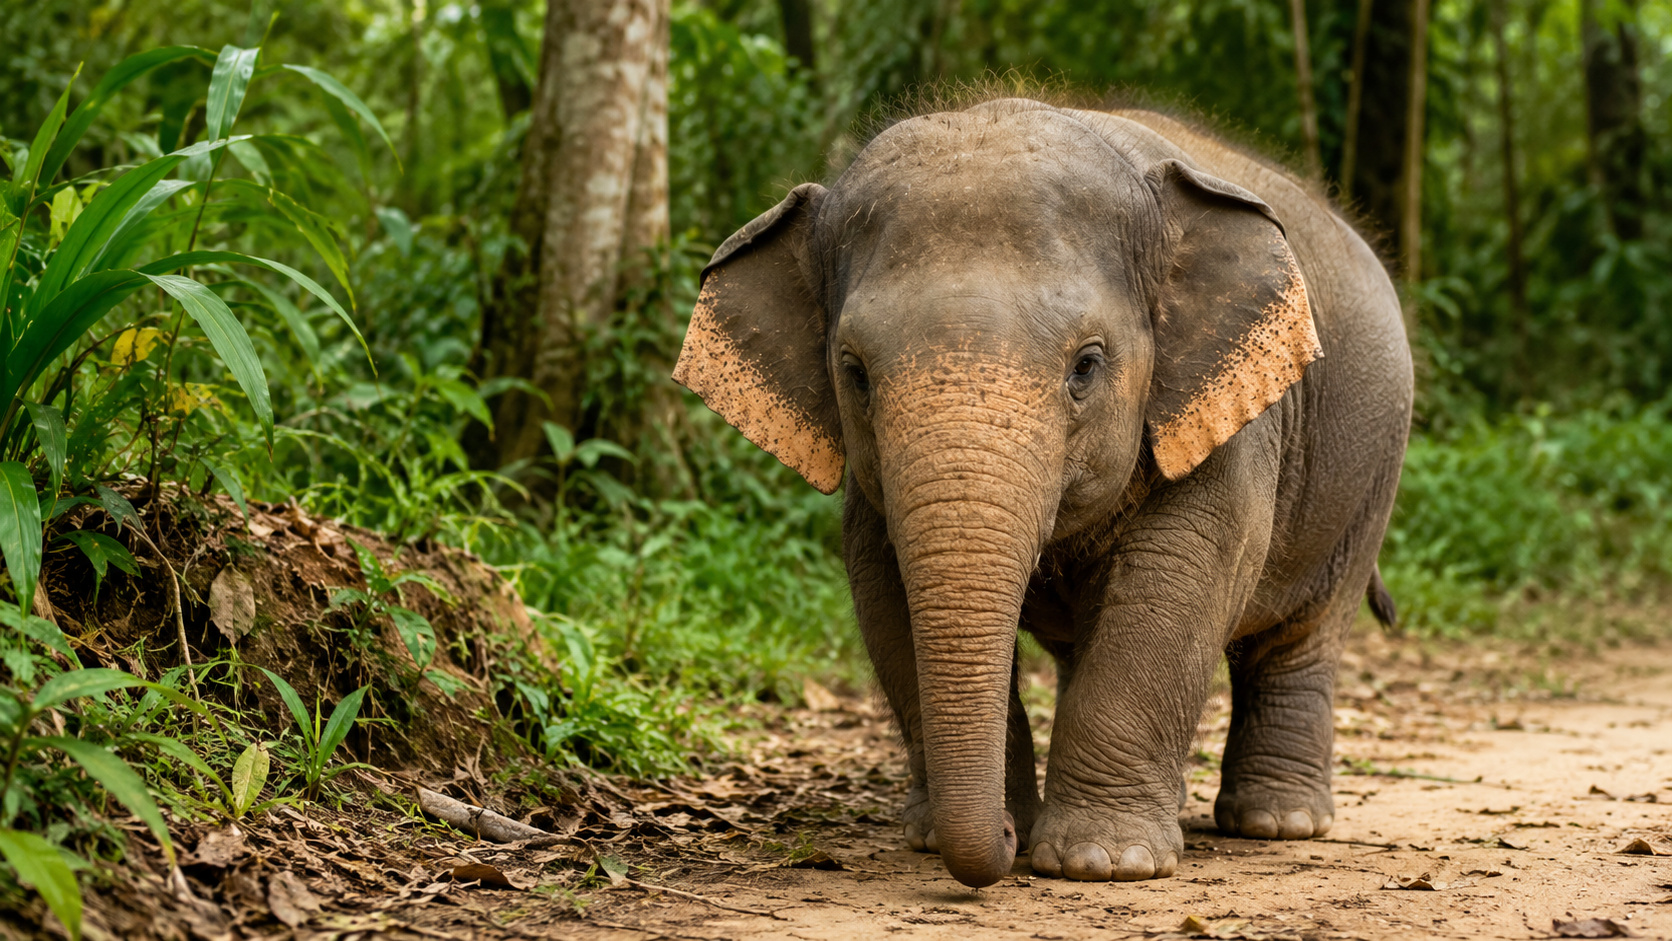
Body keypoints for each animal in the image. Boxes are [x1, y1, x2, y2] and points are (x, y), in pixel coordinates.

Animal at [671, 97, 1412, 889]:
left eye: (1086, 365)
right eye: (855, 374)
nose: (998, 839)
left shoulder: (1227, 420)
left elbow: (1180, 583)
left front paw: (1105, 863)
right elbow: (884, 591)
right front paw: (945, 837)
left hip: (1371, 470)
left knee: (1302, 635)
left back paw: (1278, 823)